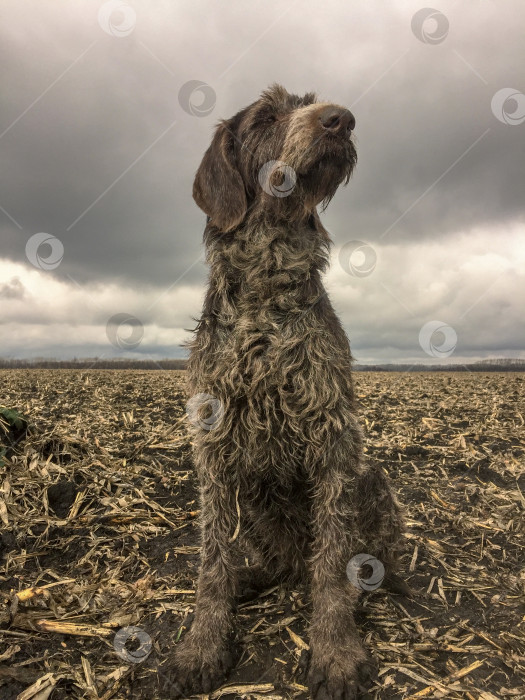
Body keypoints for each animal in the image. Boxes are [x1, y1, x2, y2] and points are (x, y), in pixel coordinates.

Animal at [170, 85, 408, 696]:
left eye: (313, 103)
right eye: (267, 117)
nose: (341, 120)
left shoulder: (333, 438)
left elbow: (333, 560)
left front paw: (336, 650)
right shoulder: (215, 449)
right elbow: (212, 560)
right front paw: (202, 644)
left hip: (372, 477)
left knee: (357, 564)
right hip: (254, 496)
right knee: (269, 561)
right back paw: (252, 577)